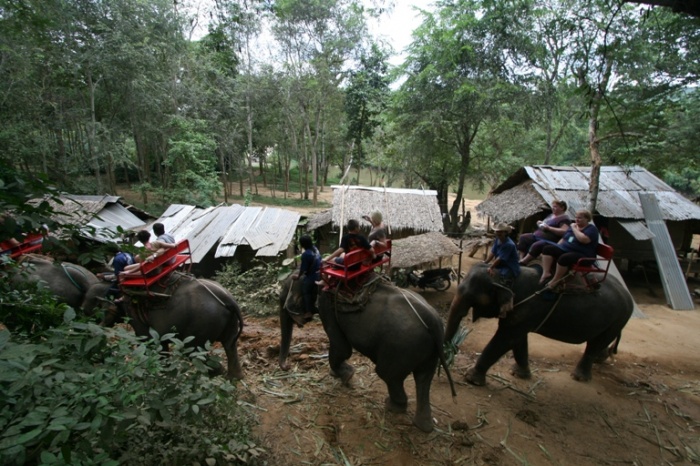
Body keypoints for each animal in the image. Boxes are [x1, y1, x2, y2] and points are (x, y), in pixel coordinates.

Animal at [83, 274, 243, 378]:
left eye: (89, 304)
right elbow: (161, 345)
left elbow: (148, 341)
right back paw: (232, 380)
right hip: (227, 322)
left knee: (193, 351)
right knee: (230, 346)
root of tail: (227, 298)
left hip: (203, 322)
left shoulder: (135, 314)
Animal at [276, 274, 456, 434]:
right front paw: (340, 374)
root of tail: (433, 319)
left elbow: (341, 347)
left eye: (283, 295)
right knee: (423, 378)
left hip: (401, 346)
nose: (288, 366)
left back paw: (392, 406)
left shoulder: (326, 304)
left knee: (388, 375)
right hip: (427, 350)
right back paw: (423, 426)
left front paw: (346, 376)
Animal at [446, 264, 636, 384]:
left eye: (471, 296)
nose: (450, 351)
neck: (508, 276)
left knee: (596, 343)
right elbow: (518, 341)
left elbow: (506, 339)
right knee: (598, 341)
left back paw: (579, 377)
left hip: (618, 318)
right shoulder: (520, 313)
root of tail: (628, 295)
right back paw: (601, 359)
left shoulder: (528, 309)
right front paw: (519, 374)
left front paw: (471, 379)